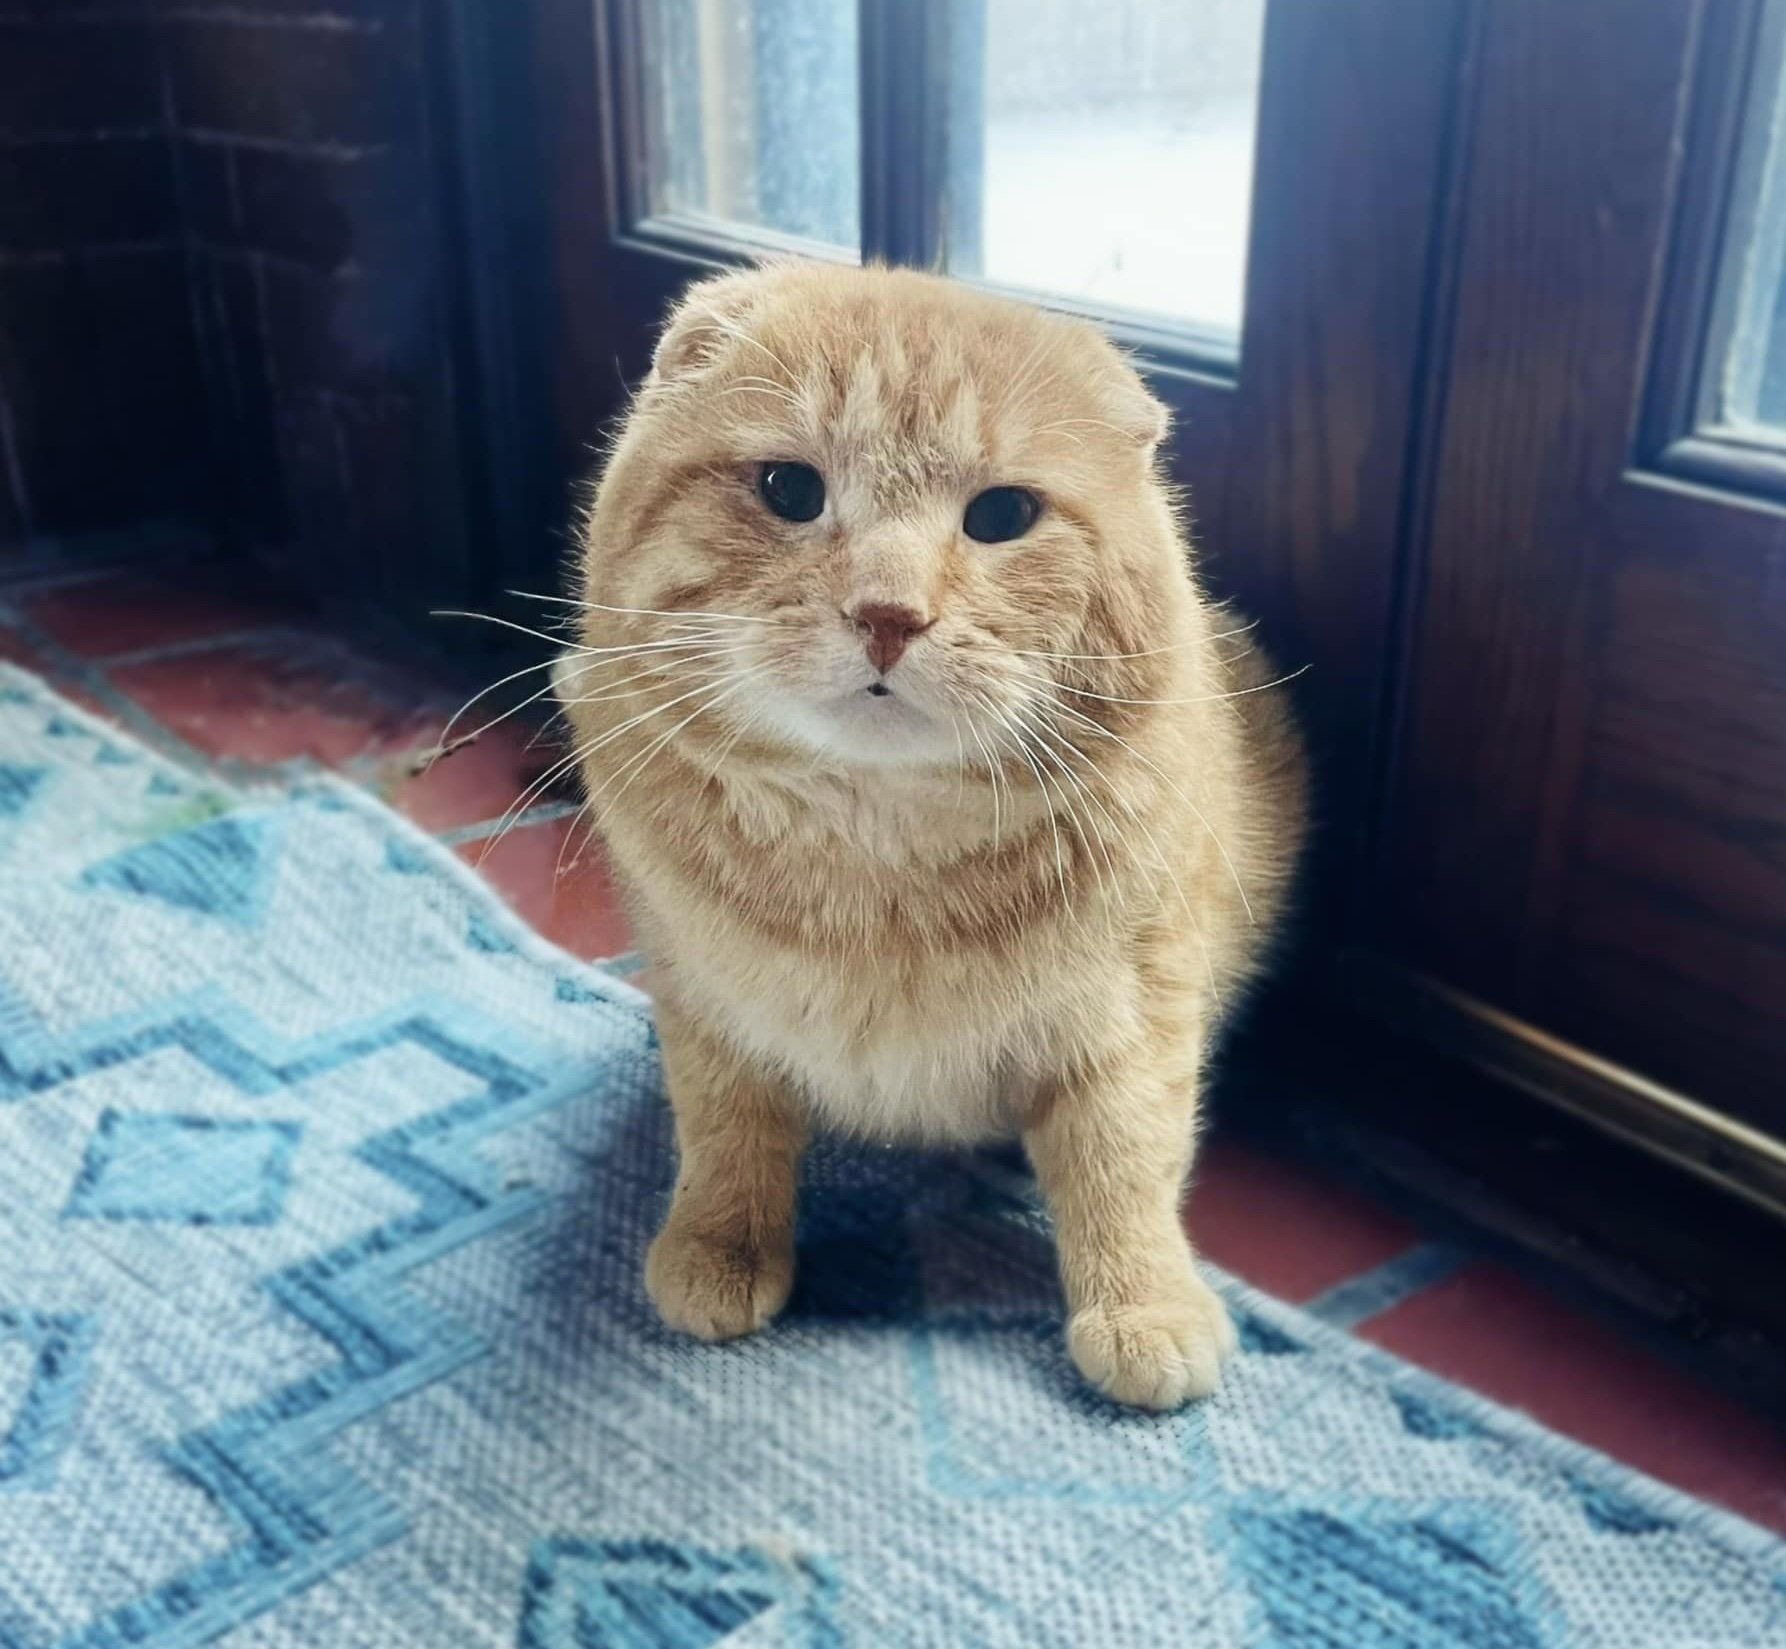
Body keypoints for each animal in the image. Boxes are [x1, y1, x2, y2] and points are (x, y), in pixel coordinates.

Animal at [560, 264, 1314, 1414]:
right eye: (789, 489)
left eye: (1002, 515)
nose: (887, 614)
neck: (877, 849)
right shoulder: (703, 1001)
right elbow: (726, 1129)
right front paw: (719, 1242)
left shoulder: (1133, 1016)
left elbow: (1125, 1159)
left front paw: (1143, 1302)